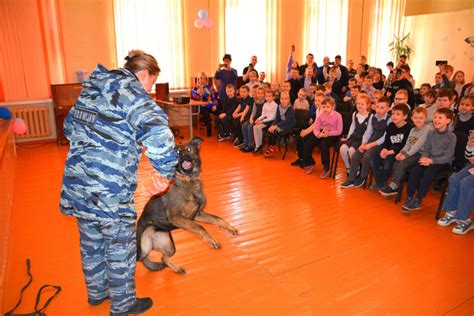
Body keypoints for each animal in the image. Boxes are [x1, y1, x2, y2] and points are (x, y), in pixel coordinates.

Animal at [137, 138, 239, 274]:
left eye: (189, 149)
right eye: (178, 151)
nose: (184, 156)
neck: (189, 178)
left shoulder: (197, 214)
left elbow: (217, 218)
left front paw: (229, 226)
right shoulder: (177, 217)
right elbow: (199, 227)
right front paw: (211, 240)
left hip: (169, 246)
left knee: (163, 258)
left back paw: (176, 269)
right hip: (145, 249)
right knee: (149, 258)